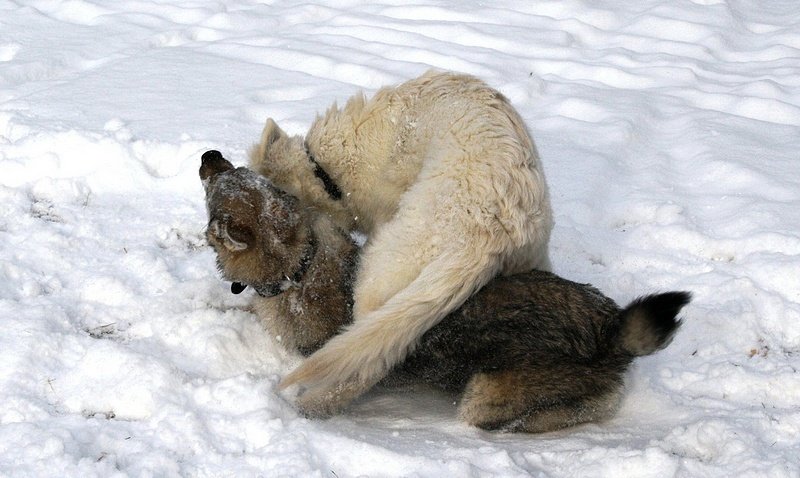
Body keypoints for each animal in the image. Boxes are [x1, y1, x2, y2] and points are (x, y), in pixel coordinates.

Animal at [200, 151, 689, 432]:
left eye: (216, 189)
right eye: (237, 171)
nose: (210, 154)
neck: (301, 265)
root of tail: (610, 326)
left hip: (482, 396)